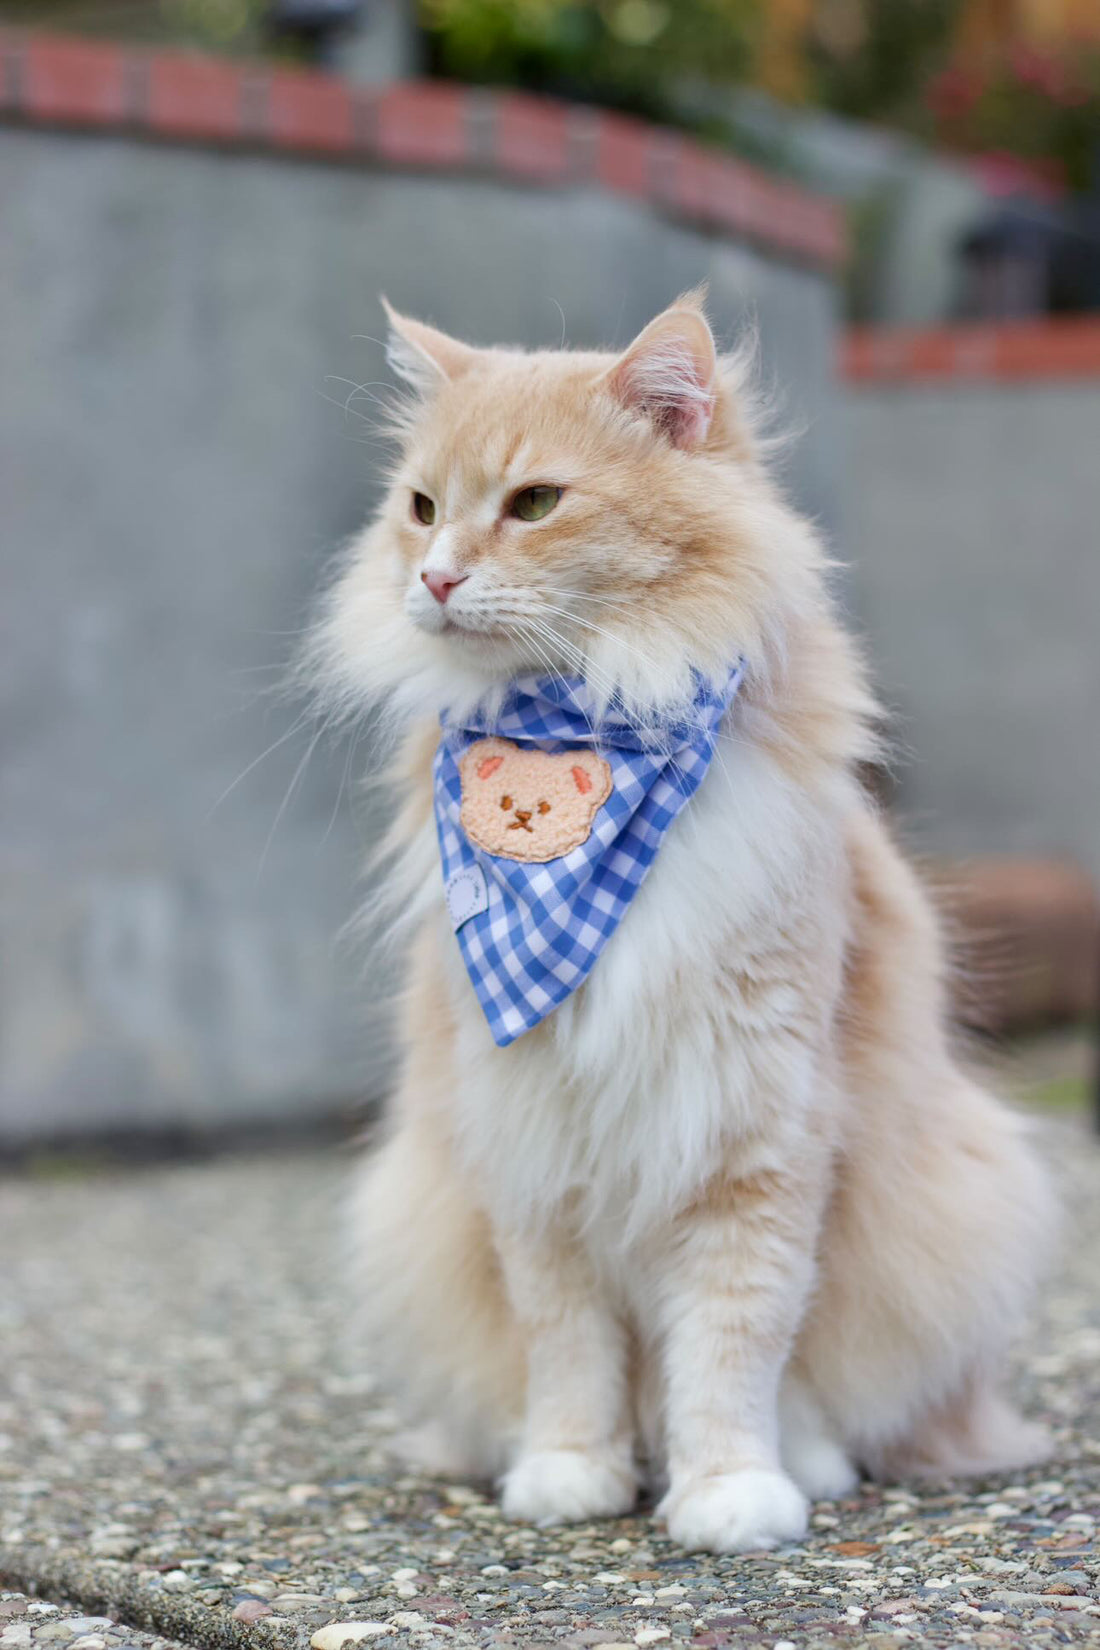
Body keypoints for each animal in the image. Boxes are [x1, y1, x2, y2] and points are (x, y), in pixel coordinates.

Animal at [311, 290, 1055, 1551]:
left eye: (534, 503)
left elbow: (729, 1344)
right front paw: (569, 1474)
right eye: (420, 509)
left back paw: (805, 1464)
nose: (437, 580)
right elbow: (569, 1351)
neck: (587, 724)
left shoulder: (754, 1142)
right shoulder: (533, 1152)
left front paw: (729, 1495)